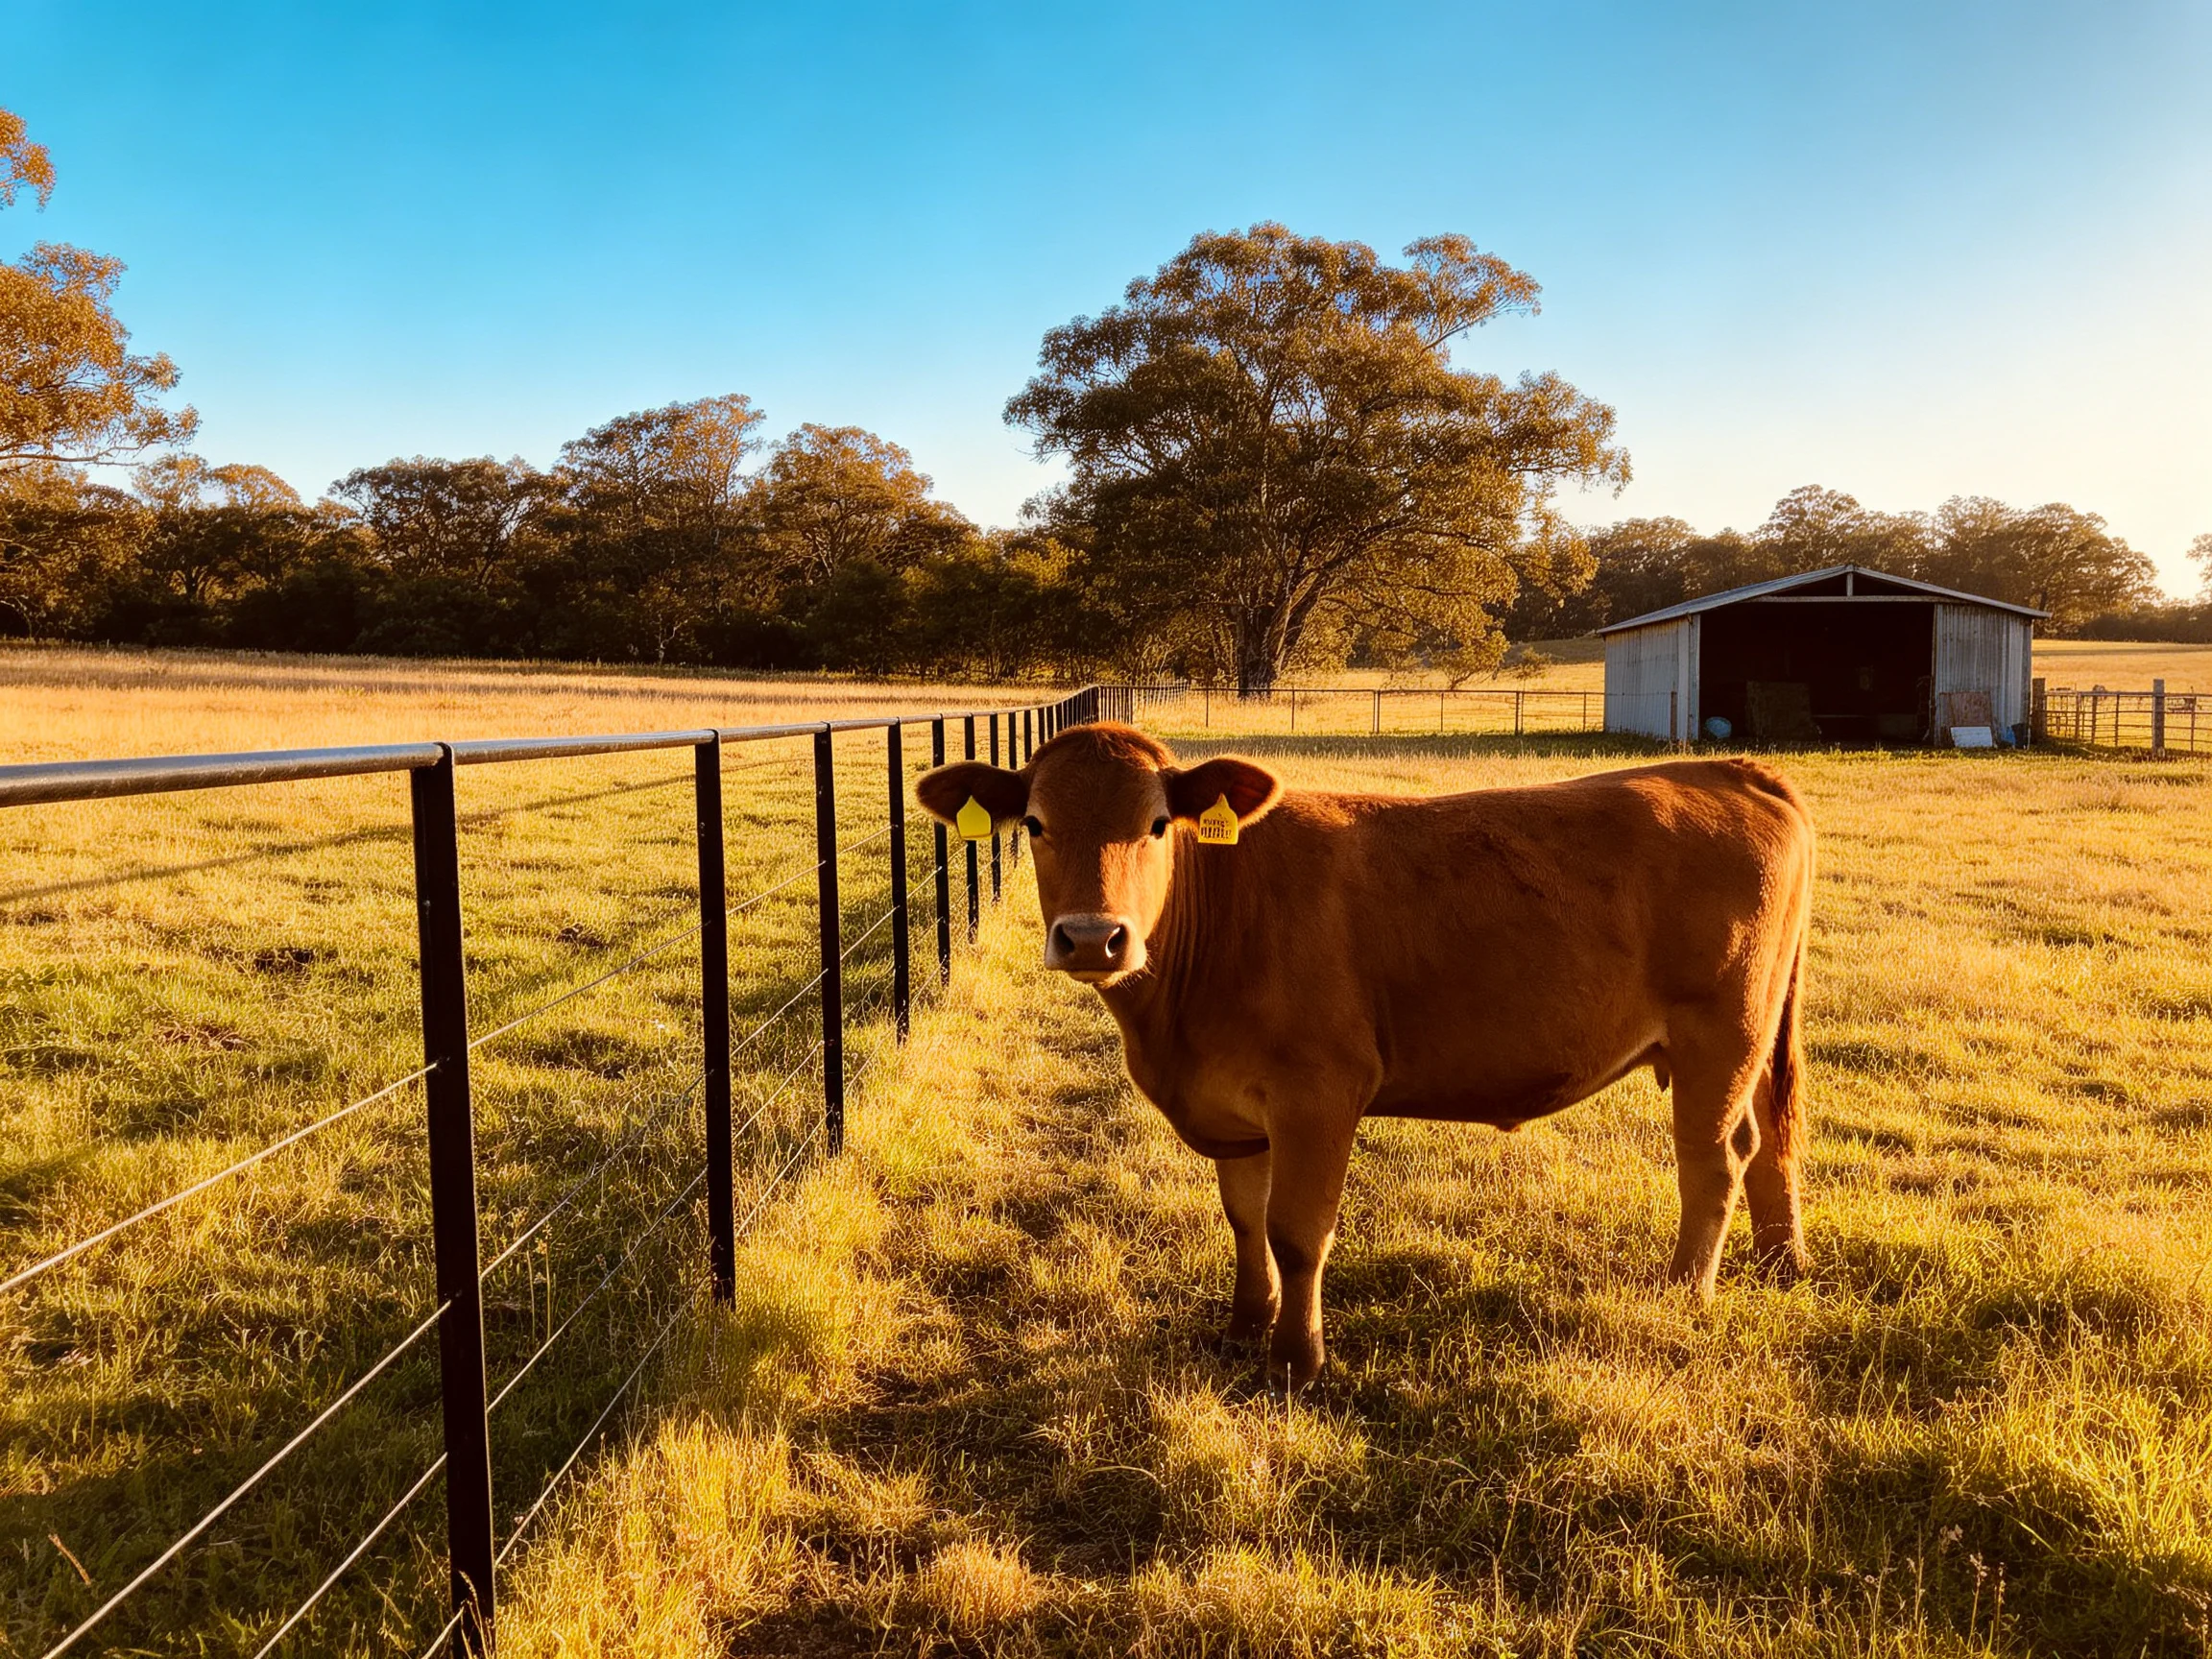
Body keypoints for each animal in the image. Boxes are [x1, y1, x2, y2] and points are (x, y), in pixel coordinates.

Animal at [916, 722, 1815, 1386]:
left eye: (1157, 825)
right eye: (1035, 825)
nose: (1093, 938)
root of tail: (1727, 770)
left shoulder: (1318, 1093)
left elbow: (1298, 1229)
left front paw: (1295, 1359)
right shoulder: (1237, 1110)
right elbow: (1245, 1217)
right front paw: (1244, 1324)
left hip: (1721, 1035)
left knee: (1713, 1161)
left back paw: (1685, 1295)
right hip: (1750, 1040)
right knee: (1766, 1142)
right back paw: (1780, 1264)